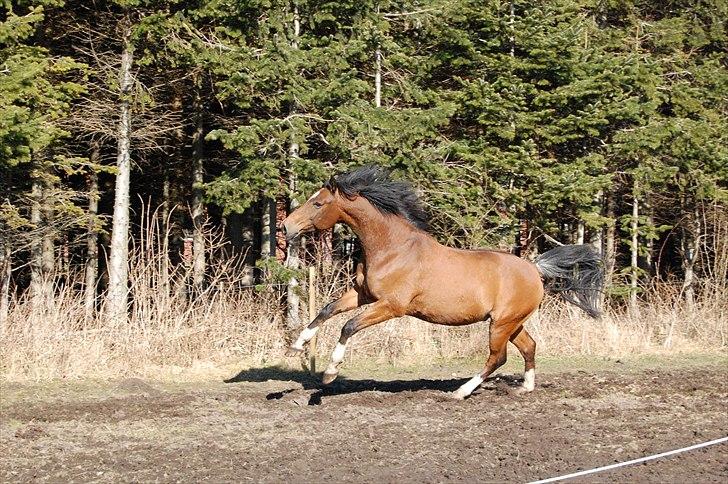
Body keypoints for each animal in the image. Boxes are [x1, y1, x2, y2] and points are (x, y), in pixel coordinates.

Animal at [282, 164, 600, 398]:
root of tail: (535, 270)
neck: (393, 248)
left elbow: (348, 326)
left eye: (318, 203)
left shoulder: (391, 306)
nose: (286, 226)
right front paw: (297, 346)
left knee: (497, 358)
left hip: (502, 323)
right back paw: (526, 388)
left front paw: (330, 373)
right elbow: (326, 310)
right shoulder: (363, 294)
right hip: (511, 322)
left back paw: (461, 392)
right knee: (529, 346)